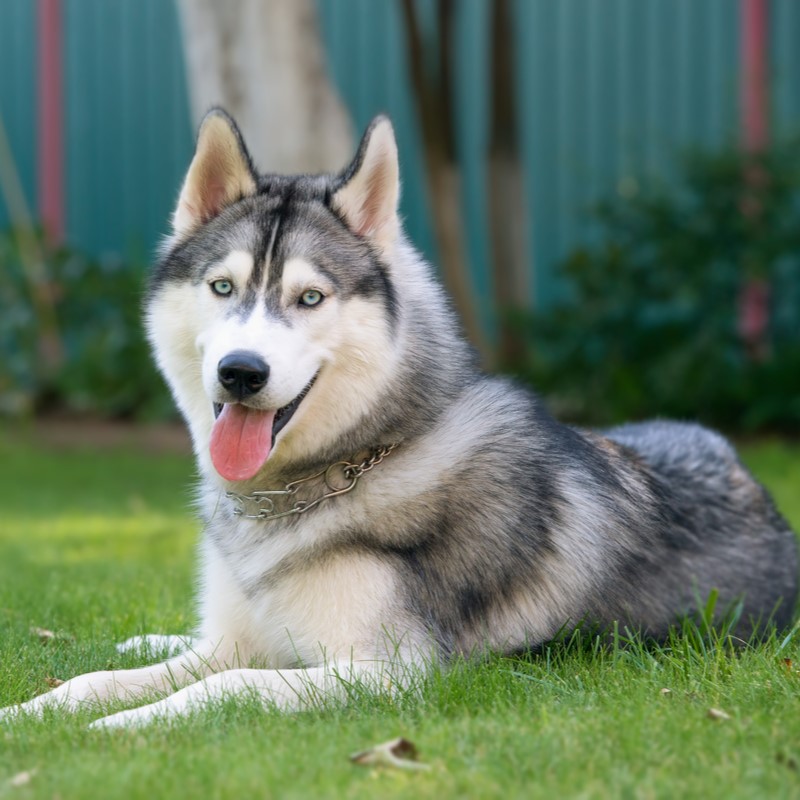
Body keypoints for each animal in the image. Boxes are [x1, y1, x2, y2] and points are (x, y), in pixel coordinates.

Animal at [3, 112, 796, 732]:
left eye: (311, 298)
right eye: (222, 287)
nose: (241, 372)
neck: (331, 475)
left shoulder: (390, 674)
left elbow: (225, 687)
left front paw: (124, 726)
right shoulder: (232, 640)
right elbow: (98, 679)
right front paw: (35, 711)